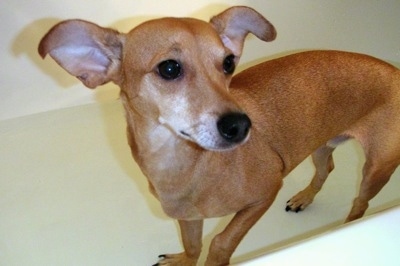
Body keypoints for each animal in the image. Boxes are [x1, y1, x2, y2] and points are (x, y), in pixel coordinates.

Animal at [38, 5, 400, 264]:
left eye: (228, 63)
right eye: (169, 68)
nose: (240, 125)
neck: (186, 166)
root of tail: (394, 69)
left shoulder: (264, 194)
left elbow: (221, 243)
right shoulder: (188, 217)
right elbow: (192, 243)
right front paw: (184, 260)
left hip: (376, 169)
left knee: (361, 202)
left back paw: (349, 224)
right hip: (322, 144)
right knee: (327, 169)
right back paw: (304, 197)